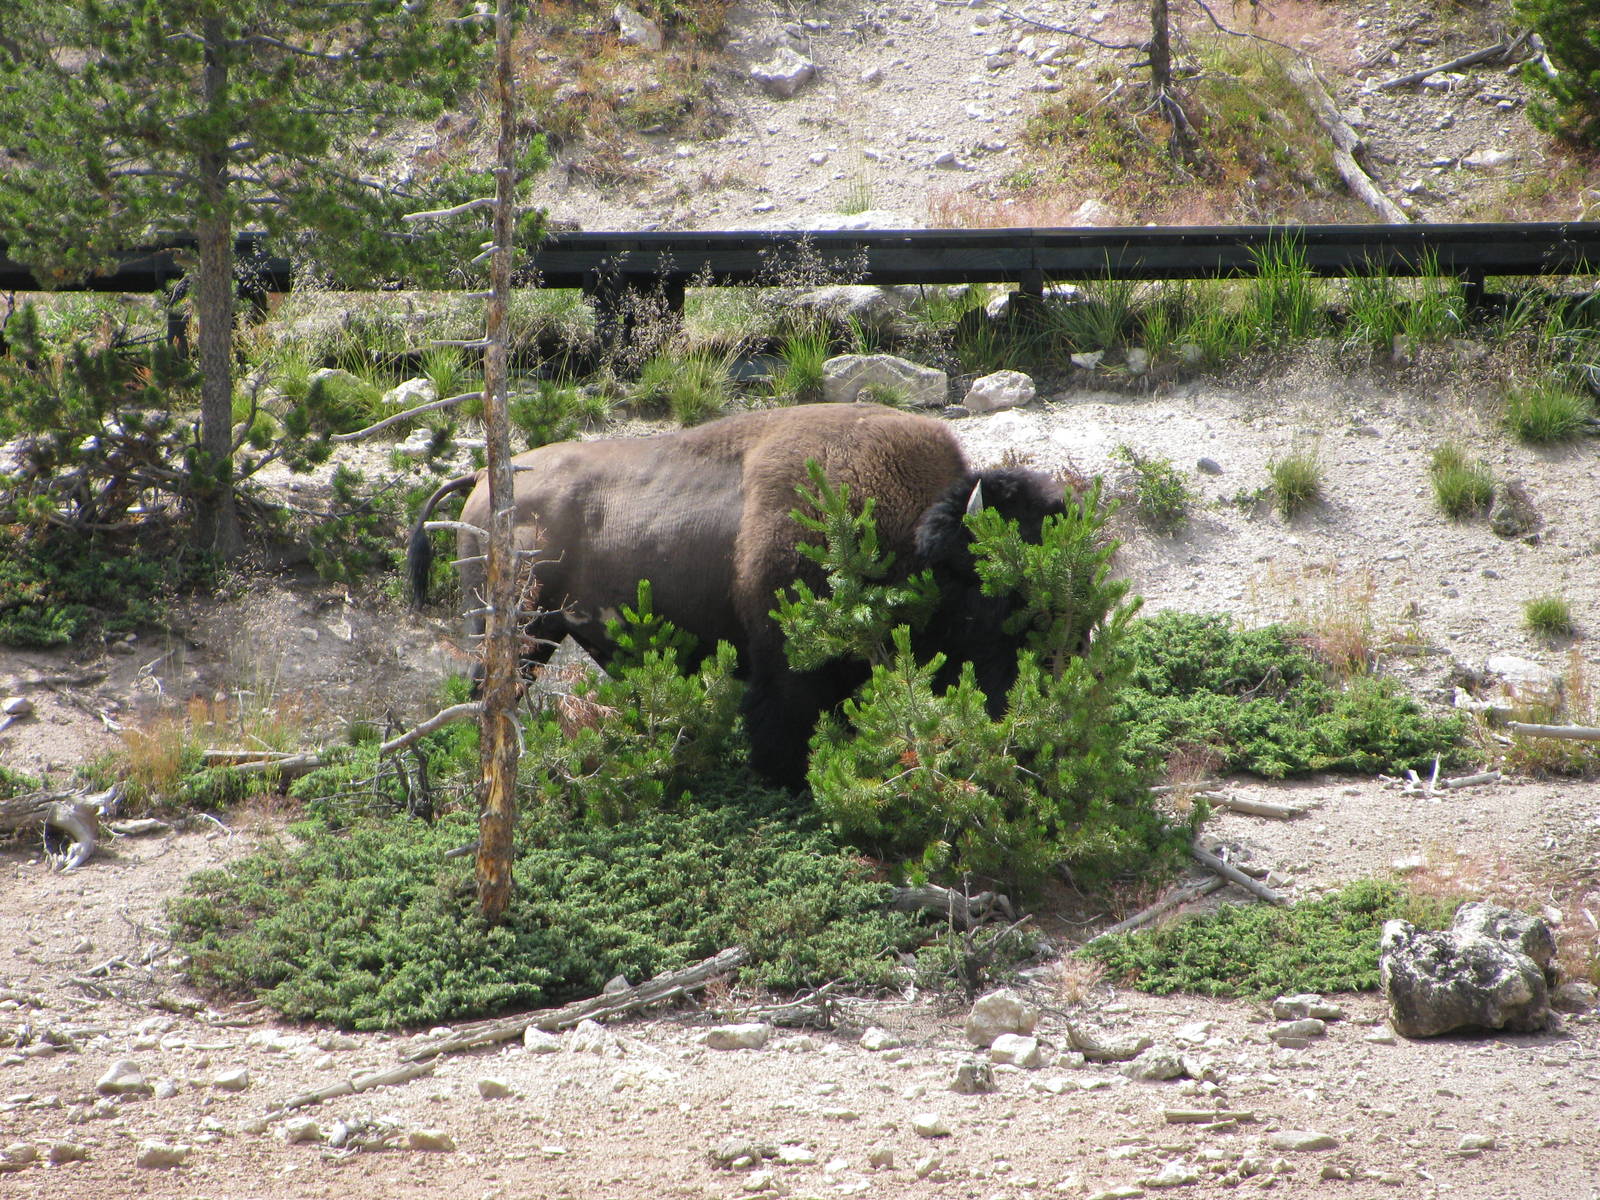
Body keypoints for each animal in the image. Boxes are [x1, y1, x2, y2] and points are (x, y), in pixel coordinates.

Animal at [408, 403, 1064, 784]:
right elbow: (783, 720)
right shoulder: (784, 658)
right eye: (1000, 592)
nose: (1052, 675)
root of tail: (483, 476)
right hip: (520, 630)